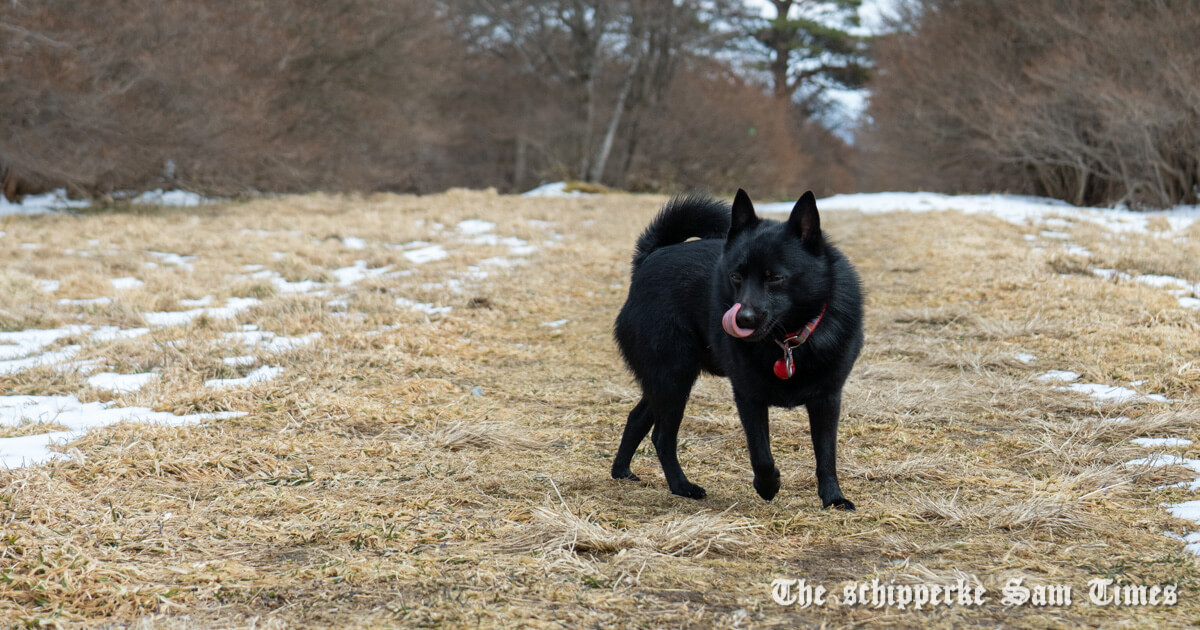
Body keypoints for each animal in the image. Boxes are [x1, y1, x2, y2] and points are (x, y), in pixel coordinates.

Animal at [609, 189, 864, 508]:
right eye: (735, 276)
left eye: (775, 277)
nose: (743, 319)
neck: (787, 341)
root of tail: (650, 258)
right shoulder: (748, 397)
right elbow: (761, 455)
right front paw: (768, 486)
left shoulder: (827, 399)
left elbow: (826, 454)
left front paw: (833, 499)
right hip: (672, 378)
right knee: (663, 437)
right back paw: (682, 486)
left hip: (667, 381)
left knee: (637, 418)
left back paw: (621, 471)